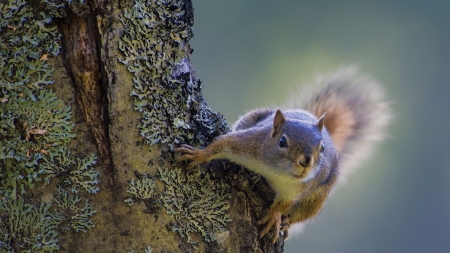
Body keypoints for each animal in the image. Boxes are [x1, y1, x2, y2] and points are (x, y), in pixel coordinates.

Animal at [174, 66, 392, 243]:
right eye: (282, 142)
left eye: (322, 148)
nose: (306, 161)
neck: (276, 171)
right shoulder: (249, 144)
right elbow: (223, 143)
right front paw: (199, 154)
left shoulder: (298, 189)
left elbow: (285, 203)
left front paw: (274, 216)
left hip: (317, 199)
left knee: (300, 215)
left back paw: (286, 223)